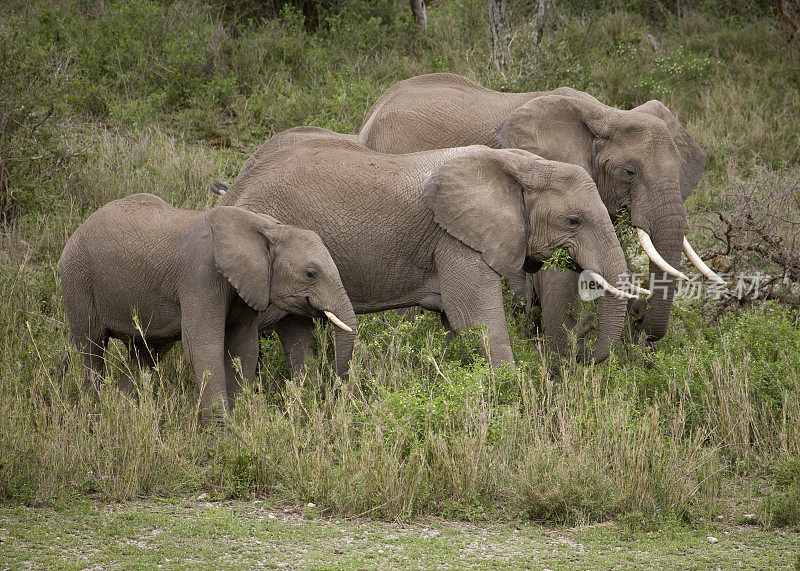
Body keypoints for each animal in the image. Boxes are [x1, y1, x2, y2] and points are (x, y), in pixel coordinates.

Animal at [57, 194, 354, 422]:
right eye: (311, 273)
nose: (331, 395)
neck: (267, 227)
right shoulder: (200, 278)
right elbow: (203, 347)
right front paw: (221, 430)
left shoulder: (247, 285)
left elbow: (242, 348)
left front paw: (239, 419)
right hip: (78, 277)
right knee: (91, 347)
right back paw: (94, 411)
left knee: (147, 354)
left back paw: (123, 407)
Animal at [220, 130, 644, 370]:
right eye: (573, 221)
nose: (583, 359)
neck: (521, 164)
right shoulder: (455, 239)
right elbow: (476, 319)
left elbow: (456, 325)